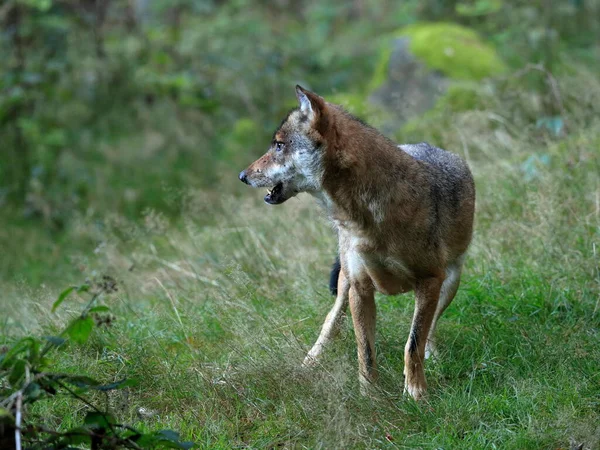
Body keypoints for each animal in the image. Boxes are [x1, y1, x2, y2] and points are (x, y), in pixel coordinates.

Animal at [237, 86, 476, 400]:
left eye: (278, 145)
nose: (242, 176)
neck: (368, 217)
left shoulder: (429, 281)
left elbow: (413, 343)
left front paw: (415, 394)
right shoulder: (360, 288)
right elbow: (365, 349)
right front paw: (369, 396)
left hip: (451, 282)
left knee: (430, 329)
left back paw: (433, 357)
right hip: (344, 285)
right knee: (330, 322)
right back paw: (308, 364)